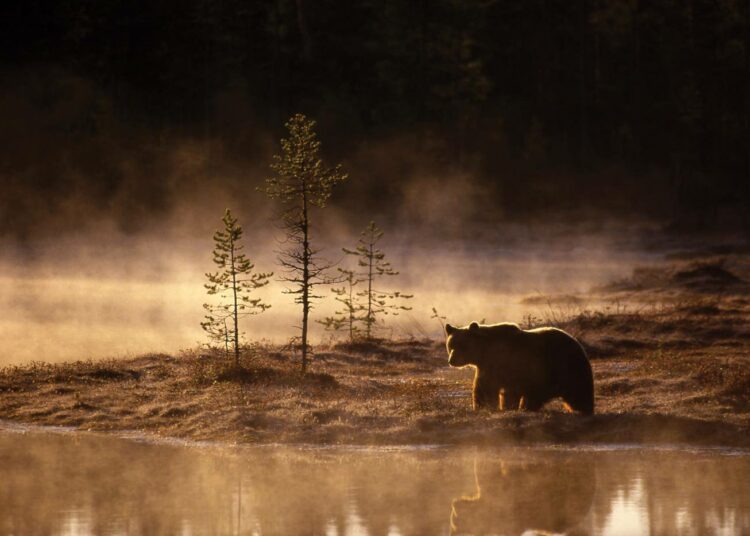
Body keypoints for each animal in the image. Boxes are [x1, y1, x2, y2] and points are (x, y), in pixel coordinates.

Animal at [444, 322, 596, 414]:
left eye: (461, 346)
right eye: (450, 346)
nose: (452, 360)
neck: (484, 351)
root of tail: (579, 345)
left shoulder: (498, 363)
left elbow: (486, 388)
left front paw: (483, 407)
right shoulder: (491, 367)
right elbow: (502, 391)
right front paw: (504, 407)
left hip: (559, 367)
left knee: (576, 392)